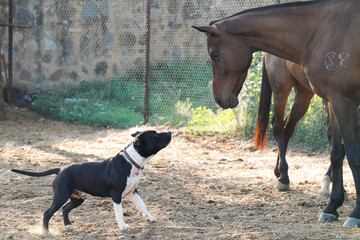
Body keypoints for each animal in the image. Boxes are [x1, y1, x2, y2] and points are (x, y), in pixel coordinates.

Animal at [11, 130, 172, 233]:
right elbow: (119, 212)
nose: (170, 132)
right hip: (61, 196)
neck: (132, 161)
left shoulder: (133, 192)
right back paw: (46, 233)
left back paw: (68, 226)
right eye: (155, 134)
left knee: (64, 209)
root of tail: (60, 169)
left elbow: (143, 206)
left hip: (77, 198)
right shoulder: (116, 195)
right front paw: (123, 227)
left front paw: (150, 218)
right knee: (47, 213)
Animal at [194, 0, 360, 228]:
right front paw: (334, 205)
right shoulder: (337, 100)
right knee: (280, 128)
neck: (322, 30)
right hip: (286, 90)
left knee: (287, 129)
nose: (219, 98)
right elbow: (338, 152)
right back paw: (283, 177)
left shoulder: (342, 101)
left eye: (215, 55)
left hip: (303, 94)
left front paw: (351, 209)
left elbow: (347, 152)